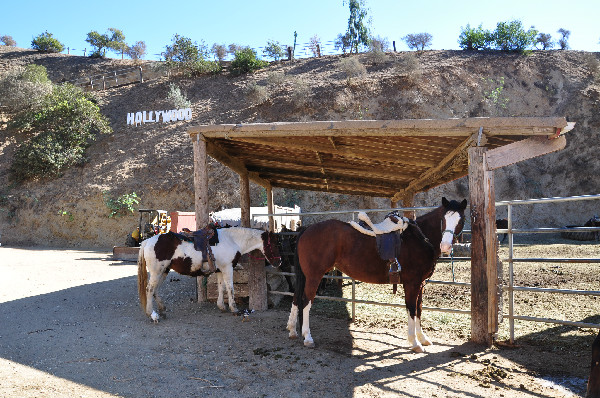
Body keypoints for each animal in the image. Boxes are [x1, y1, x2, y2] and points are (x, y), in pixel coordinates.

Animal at [138, 225, 282, 322]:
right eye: (275, 244)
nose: (279, 262)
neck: (232, 240)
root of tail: (147, 241)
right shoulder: (228, 268)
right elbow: (230, 288)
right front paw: (234, 309)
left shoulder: (220, 270)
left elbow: (221, 287)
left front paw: (221, 306)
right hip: (157, 272)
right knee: (149, 289)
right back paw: (152, 314)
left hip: (163, 271)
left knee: (155, 290)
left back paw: (162, 310)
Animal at [288, 198, 468, 352]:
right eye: (443, 219)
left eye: (460, 221)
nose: (445, 246)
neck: (420, 238)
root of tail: (307, 229)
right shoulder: (412, 283)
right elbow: (411, 309)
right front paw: (415, 342)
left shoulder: (421, 284)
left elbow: (419, 308)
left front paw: (422, 338)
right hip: (314, 276)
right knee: (306, 300)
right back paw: (307, 337)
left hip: (305, 276)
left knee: (296, 297)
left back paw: (292, 330)